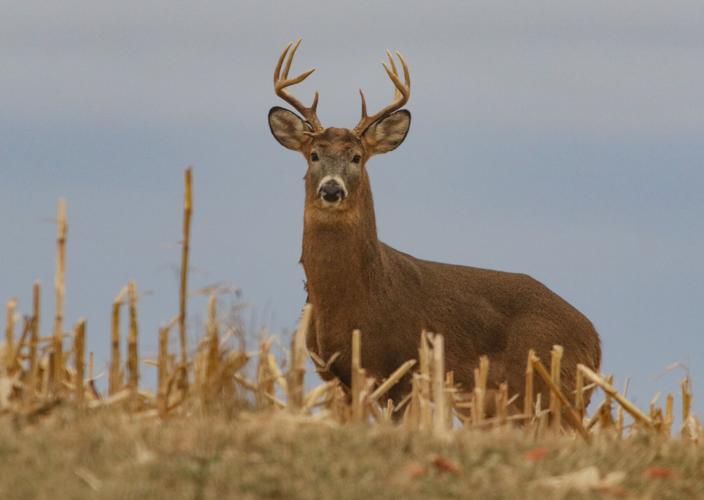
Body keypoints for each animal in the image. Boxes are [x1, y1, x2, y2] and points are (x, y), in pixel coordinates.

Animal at [267, 40, 601, 417]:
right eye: (314, 155)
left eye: (356, 157)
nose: (332, 190)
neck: (354, 298)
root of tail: (595, 342)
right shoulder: (336, 377)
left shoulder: (404, 370)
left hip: (552, 391)